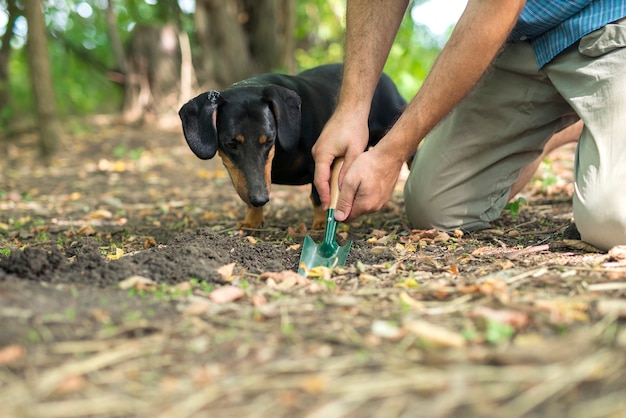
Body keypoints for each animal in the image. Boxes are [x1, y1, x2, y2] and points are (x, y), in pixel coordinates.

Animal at [178, 63, 408, 230]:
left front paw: (319, 224)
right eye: (230, 144)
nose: (260, 199)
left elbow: (318, 195)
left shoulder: (320, 162)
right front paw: (252, 220)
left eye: (269, 140)